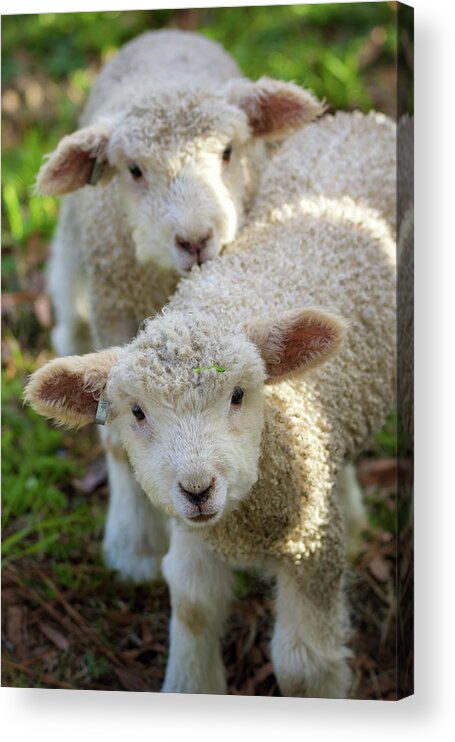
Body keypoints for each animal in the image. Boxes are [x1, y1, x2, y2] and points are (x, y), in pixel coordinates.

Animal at [25, 109, 398, 696]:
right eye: (137, 413)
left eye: (240, 394)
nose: (198, 489)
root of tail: (364, 120)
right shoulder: (196, 534)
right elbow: (195, 605)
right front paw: (192, 684)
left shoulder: (311, 546)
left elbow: (303, 665)